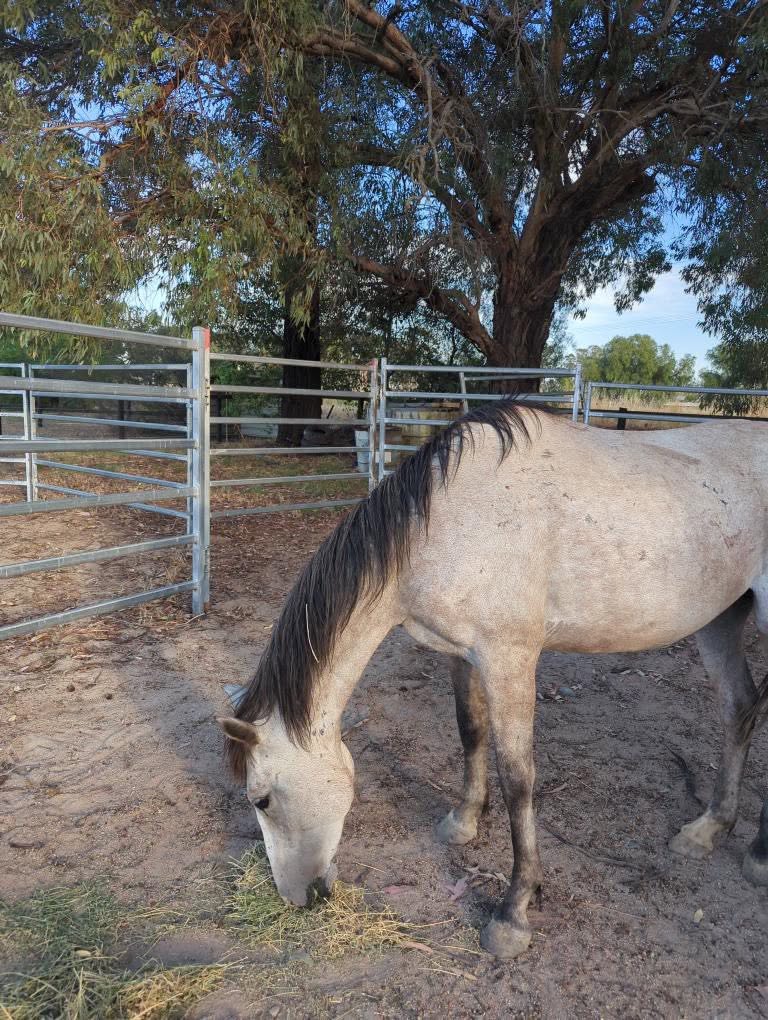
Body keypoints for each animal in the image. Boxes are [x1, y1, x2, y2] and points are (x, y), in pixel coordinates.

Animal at [219, 400, 768, 960]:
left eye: (261, 800)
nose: (296, 897)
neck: (445, 524)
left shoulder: (510, 659)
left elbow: (518, 779)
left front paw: (513, 913)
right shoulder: (462, 654)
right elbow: (470, 732)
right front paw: (463, 822)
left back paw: (758, 856)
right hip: (720, 618)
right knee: (739, 708)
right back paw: (709, 829)